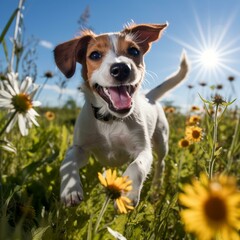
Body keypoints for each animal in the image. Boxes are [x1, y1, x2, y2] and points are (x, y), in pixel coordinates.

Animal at [53, 23, 188, 206]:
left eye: (134, 51)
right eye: (94, 55)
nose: (121, 69)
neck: (111, 119)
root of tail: (149, 96)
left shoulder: (143, 149)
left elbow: (137, 166)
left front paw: (128, 193)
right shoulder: (81, 149)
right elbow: (67, 162)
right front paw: (70, 189)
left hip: (162, 142)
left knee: (160, 164)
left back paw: (155, 190)